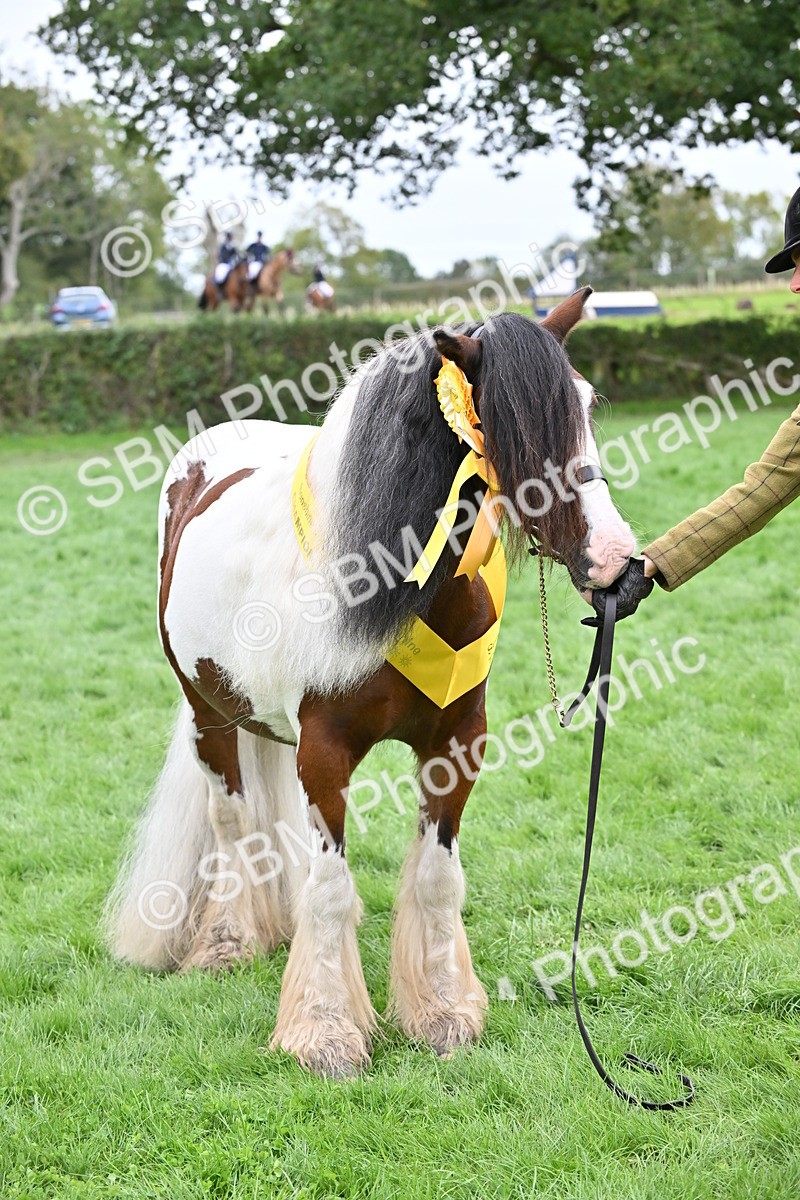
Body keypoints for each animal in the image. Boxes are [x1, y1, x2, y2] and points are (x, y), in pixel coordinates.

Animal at [107, 288, 636, 1078]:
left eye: (587, 402)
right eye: (502, 426)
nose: (616, 559)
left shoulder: (456, 744)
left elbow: (436, 877)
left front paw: (443, 1013)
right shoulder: (324, 755)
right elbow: (330, 892)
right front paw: (325, 1034)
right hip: (209, 712)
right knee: (232, 821)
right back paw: (228, 944)